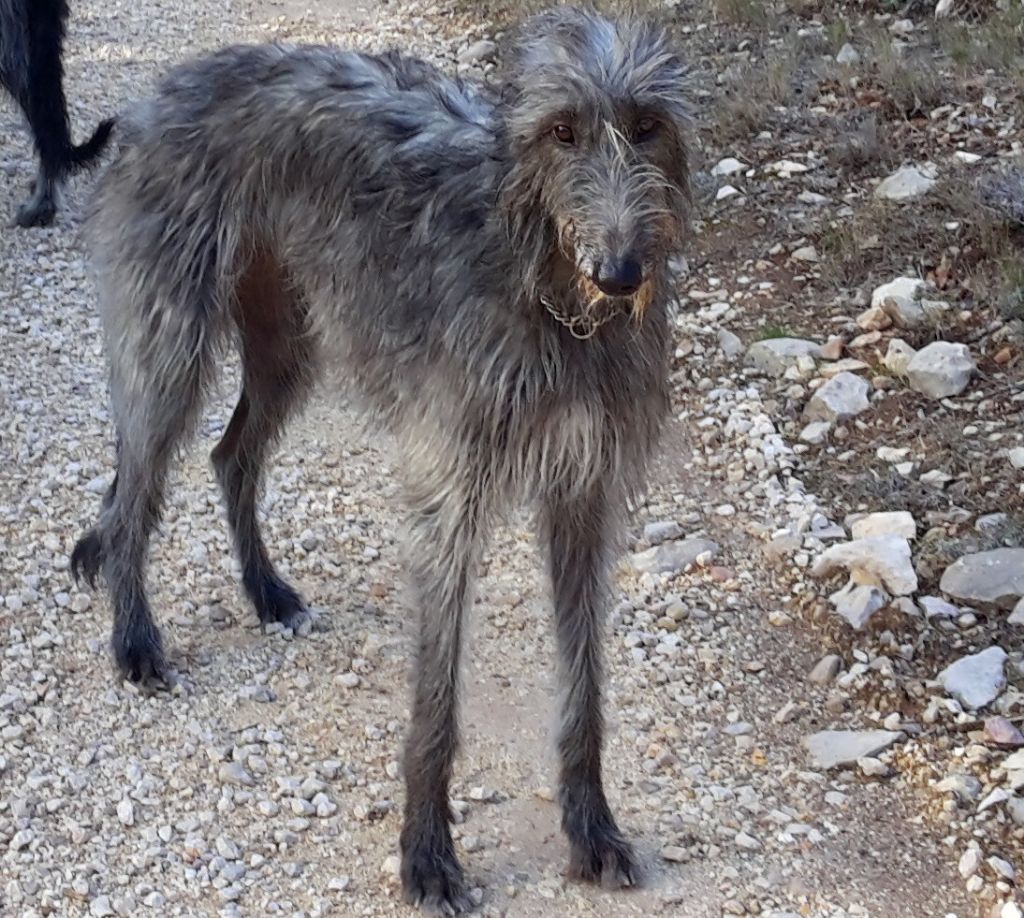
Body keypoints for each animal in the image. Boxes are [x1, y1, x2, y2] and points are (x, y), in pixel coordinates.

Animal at [71, 7, 691, 911]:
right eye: (562, 131)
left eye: (649, 127)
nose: (620, 274)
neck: (539, 277)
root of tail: (162, 91)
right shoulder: (450, 493)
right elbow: (436, 705)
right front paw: (427, 855)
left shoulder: (585, 493)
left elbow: (585, 686)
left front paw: (592, 830)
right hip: (170, 341)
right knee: (137, 494)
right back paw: (136, 642)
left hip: (286, 339)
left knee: (230, 455)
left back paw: (266, 592)